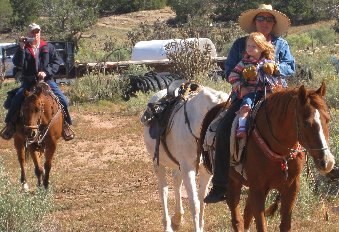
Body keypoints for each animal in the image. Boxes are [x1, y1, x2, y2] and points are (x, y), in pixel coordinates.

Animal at [143, 86, 228, 231]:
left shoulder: (205, 171)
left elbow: (202, 201)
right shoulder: (188, 169)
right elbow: (194, 204)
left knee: (176, 181)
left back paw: (177, 218)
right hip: (158, 162)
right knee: (163, 190)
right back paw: (167, 225)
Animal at [203, 82, 336, 231]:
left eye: (328, 120)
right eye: (306, 123)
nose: (327, 162)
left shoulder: (291, 188)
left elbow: (285, 225)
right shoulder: (258, 190)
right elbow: (261, 225)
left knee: (246, 214)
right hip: (232, 181)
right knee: (237, 218)